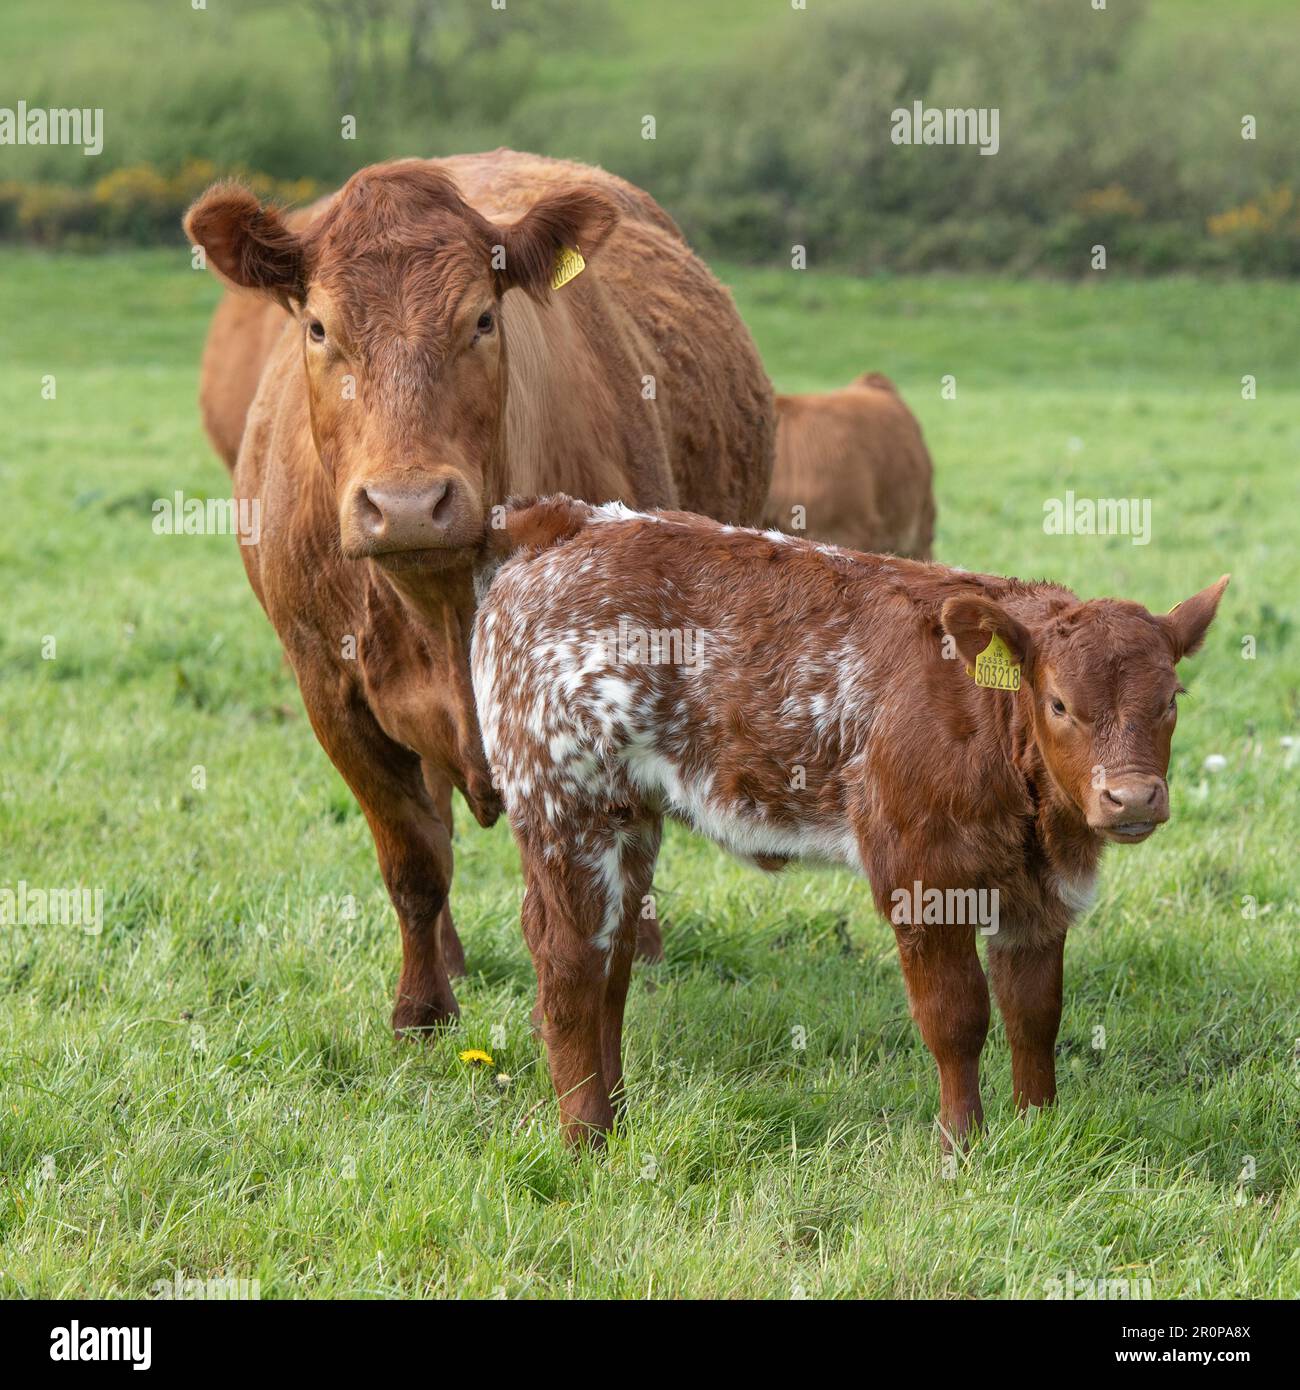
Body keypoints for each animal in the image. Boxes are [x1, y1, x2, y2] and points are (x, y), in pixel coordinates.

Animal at [183, 157, 773, 1039]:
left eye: (484, 320)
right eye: (318, 328)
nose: (405, 504)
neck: (443, 602)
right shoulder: (328, 689)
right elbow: (414, 860)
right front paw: (422, 1009)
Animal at [469, 494, 1229, 1145]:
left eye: (1171, 698)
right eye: (1060, 703)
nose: (1132, 797)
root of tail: (566, 523)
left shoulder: (1037, 892)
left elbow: (1034, 1013)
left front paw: (1038, 1128)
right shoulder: (921, 872)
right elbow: (957, 1017)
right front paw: (962, 1145)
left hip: (628, 816)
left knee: (613, 958)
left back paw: (618, 1116)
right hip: (565, 802)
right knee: (568, 961)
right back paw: (588, 1138)